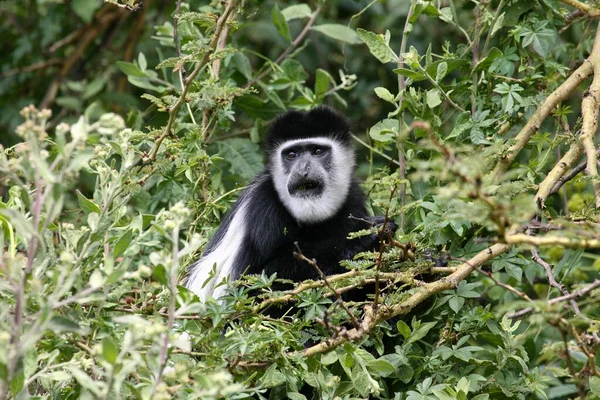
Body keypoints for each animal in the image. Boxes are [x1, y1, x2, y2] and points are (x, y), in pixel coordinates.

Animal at [185, 106, 396, 300]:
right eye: (292, 154)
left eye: (318, 151)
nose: (303, 170)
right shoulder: (263, 208)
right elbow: (260, 283)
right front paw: (366, 235)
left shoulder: (353, 198)